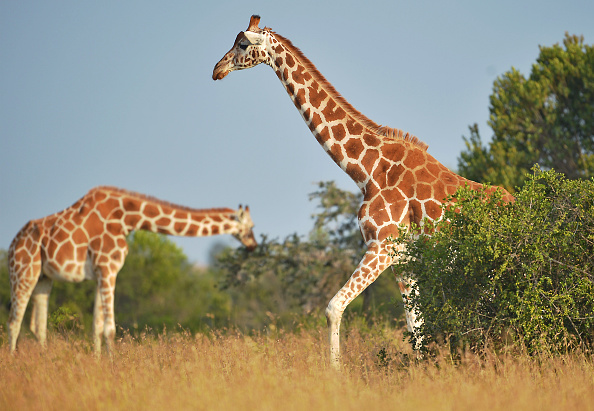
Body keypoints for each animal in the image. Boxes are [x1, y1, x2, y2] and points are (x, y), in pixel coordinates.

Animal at [6, 187, 256, 358]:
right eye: (251, 226)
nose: (253, 245)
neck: (128, 218)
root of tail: (12, 245)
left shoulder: (100, 273)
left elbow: (96, 327)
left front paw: (98, 364)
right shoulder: (108, 268)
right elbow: (110, 328)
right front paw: (112, 367)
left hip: (43, 277)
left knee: (38, 326)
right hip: (23, 271)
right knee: (13, 322)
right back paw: (13, 363)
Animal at [213, 16, 512, 370]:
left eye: (242, 44)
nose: (217, 69)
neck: (367, 170)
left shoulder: (381, 246)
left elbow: (333, 307)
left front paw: (335, 374)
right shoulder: (404, 258)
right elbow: (415, 326)